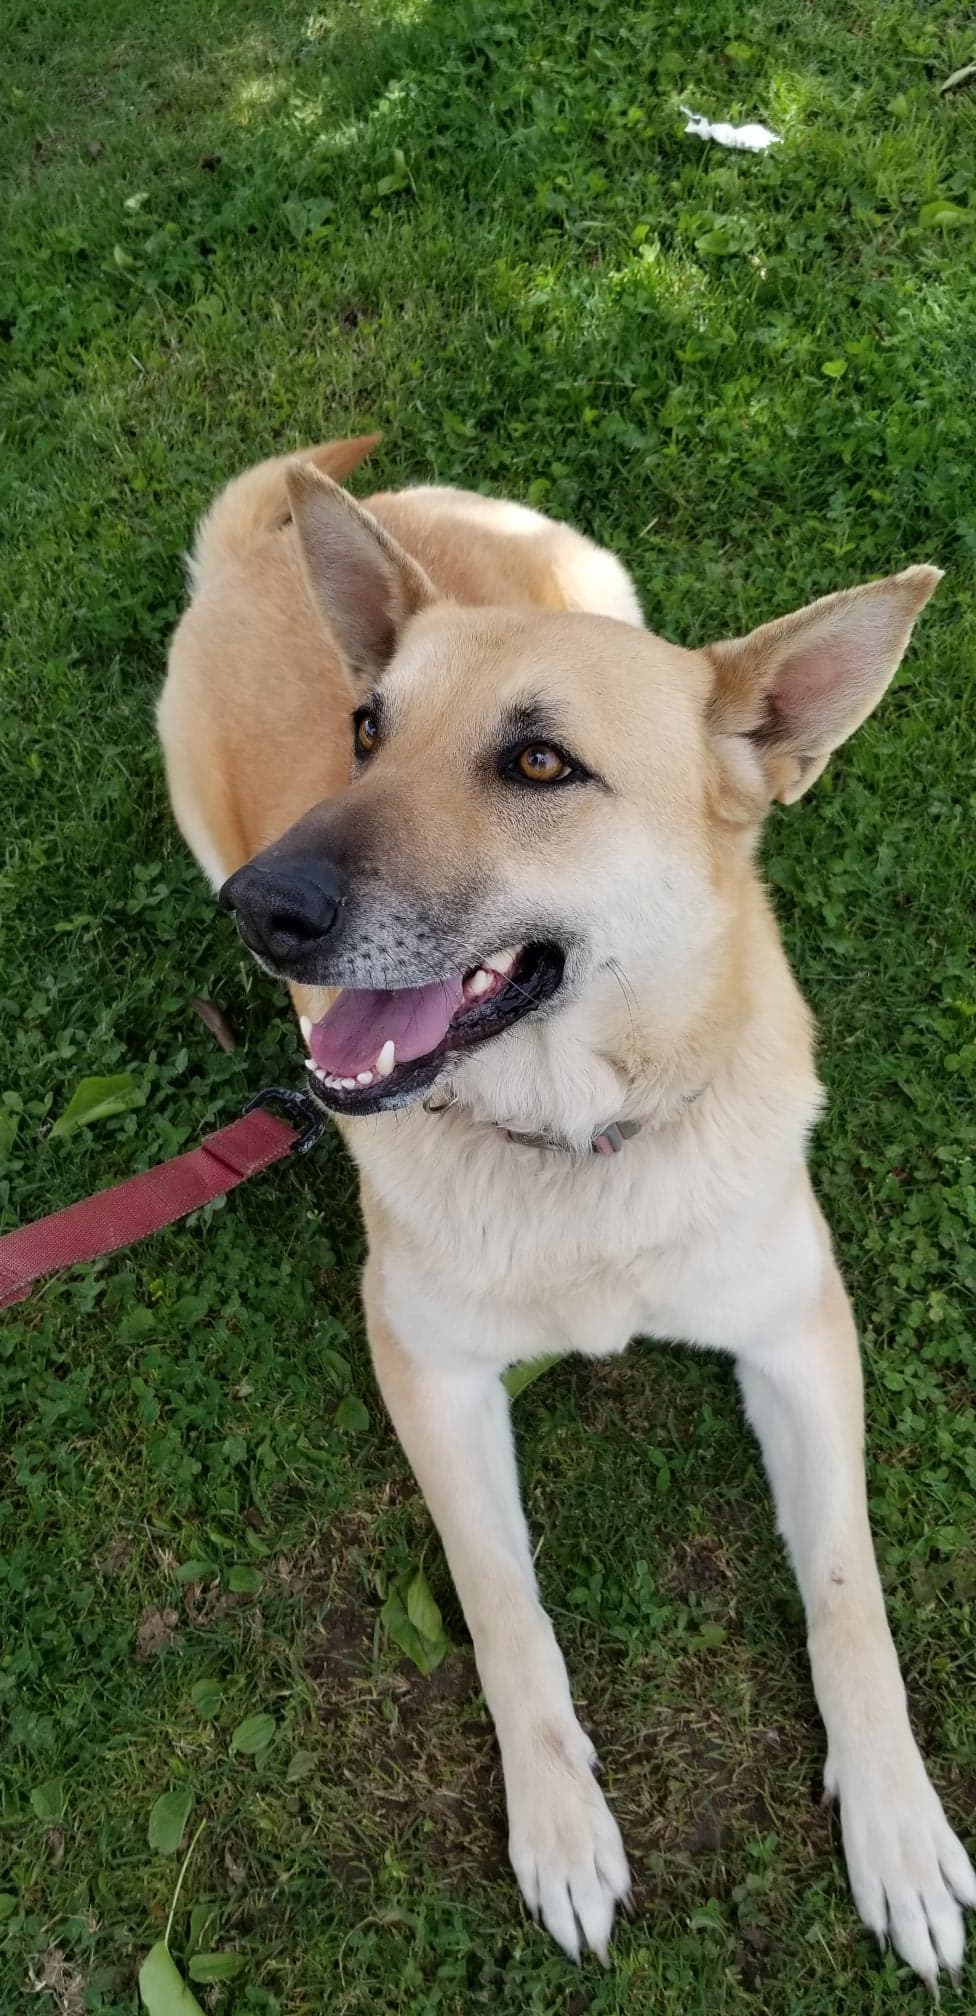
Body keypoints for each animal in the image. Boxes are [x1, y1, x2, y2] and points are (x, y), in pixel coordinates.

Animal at [159, 434, 974, 1982]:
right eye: (367, 730)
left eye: (540, 763)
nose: (263, 909)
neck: (576, 1143)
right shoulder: (426, 1369)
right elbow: (500, 1603)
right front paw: (559, 1829)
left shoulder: (798, 1335)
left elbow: (850, 1598)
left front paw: (898, 1830)